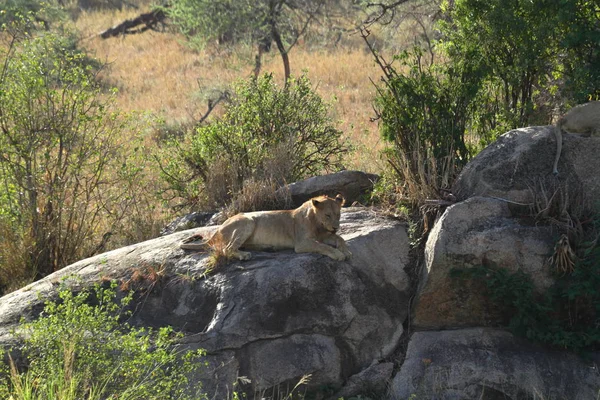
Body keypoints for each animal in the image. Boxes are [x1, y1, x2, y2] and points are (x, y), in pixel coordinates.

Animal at [180, 195, 354, 262]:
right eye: (327, 215)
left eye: (338, 214)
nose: (336, 227)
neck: (317, 223)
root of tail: (218, 228)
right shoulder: (302, 243)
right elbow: (322, 246)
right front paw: (338, 254)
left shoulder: (324, 234)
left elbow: (339, 238)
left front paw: (346, 250)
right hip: (247, 221)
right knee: (227, 248)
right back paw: (244, 255)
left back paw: (268, 248)